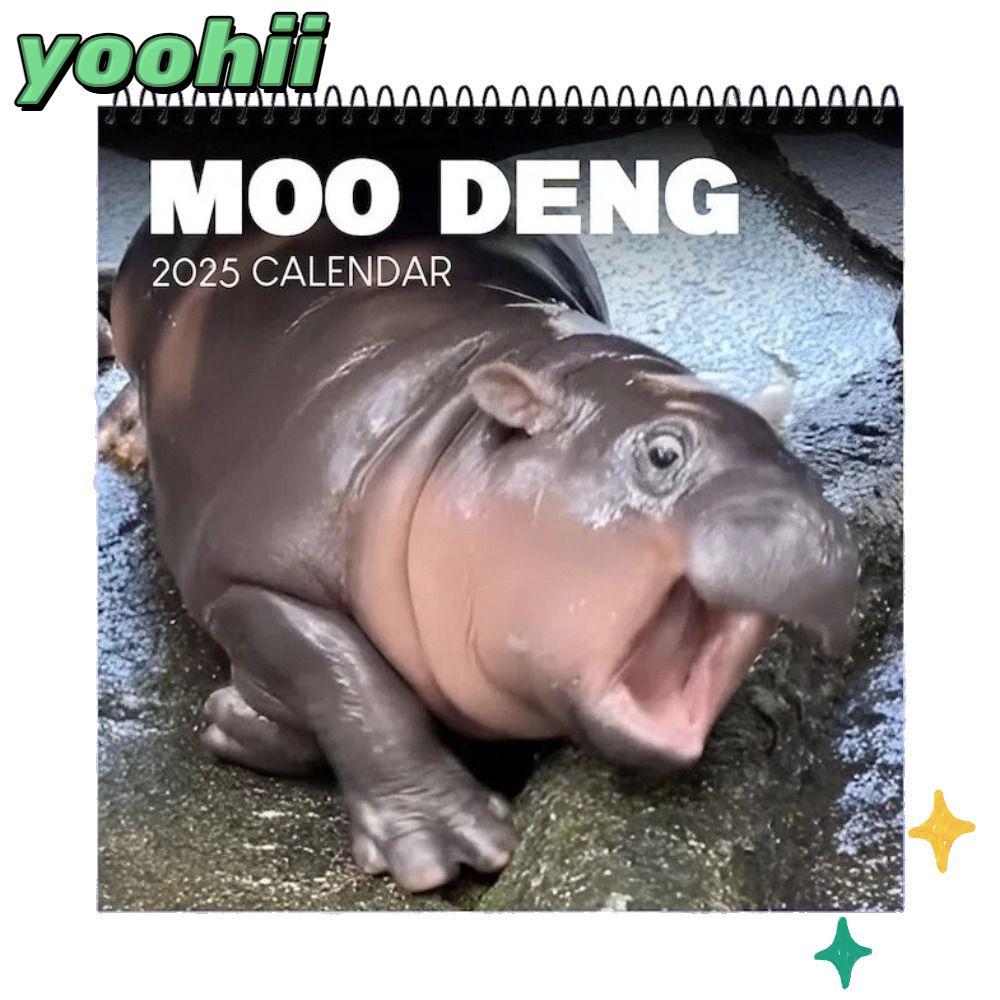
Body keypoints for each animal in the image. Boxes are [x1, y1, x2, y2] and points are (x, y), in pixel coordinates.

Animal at [100, 219, 858, 892]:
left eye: (794, 458)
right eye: (663, 452)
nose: (820, 529)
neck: (455, 420)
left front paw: (239, 721)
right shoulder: (246, 575)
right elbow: (349, 674)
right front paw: (448, 845)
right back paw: (125, 437)